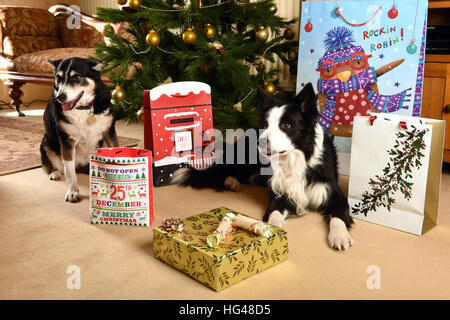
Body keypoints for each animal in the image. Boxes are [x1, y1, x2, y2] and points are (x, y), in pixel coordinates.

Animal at [40, 57, 118, 202]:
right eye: (58, 78)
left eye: (76, 77)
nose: (60, 97)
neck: (84, 109)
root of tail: (82, 166)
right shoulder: (67, 140)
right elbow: (69, 172)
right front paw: (72, 192)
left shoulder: (109, 132)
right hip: (46, 143)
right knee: (55, 166)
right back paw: (55, 172)